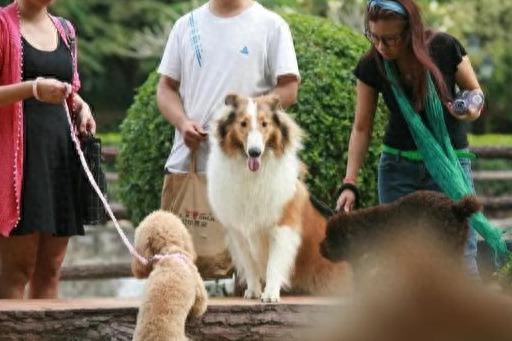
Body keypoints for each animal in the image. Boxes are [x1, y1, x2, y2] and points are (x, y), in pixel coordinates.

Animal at [206, 92, 350, 300]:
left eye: (264, 124)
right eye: (243, 123)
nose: (254, 152)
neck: (253, 176)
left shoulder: (283, 227)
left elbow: (273, 265)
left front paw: (270, 294)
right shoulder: (239, 232)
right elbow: (250, 266)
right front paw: (253, 291)